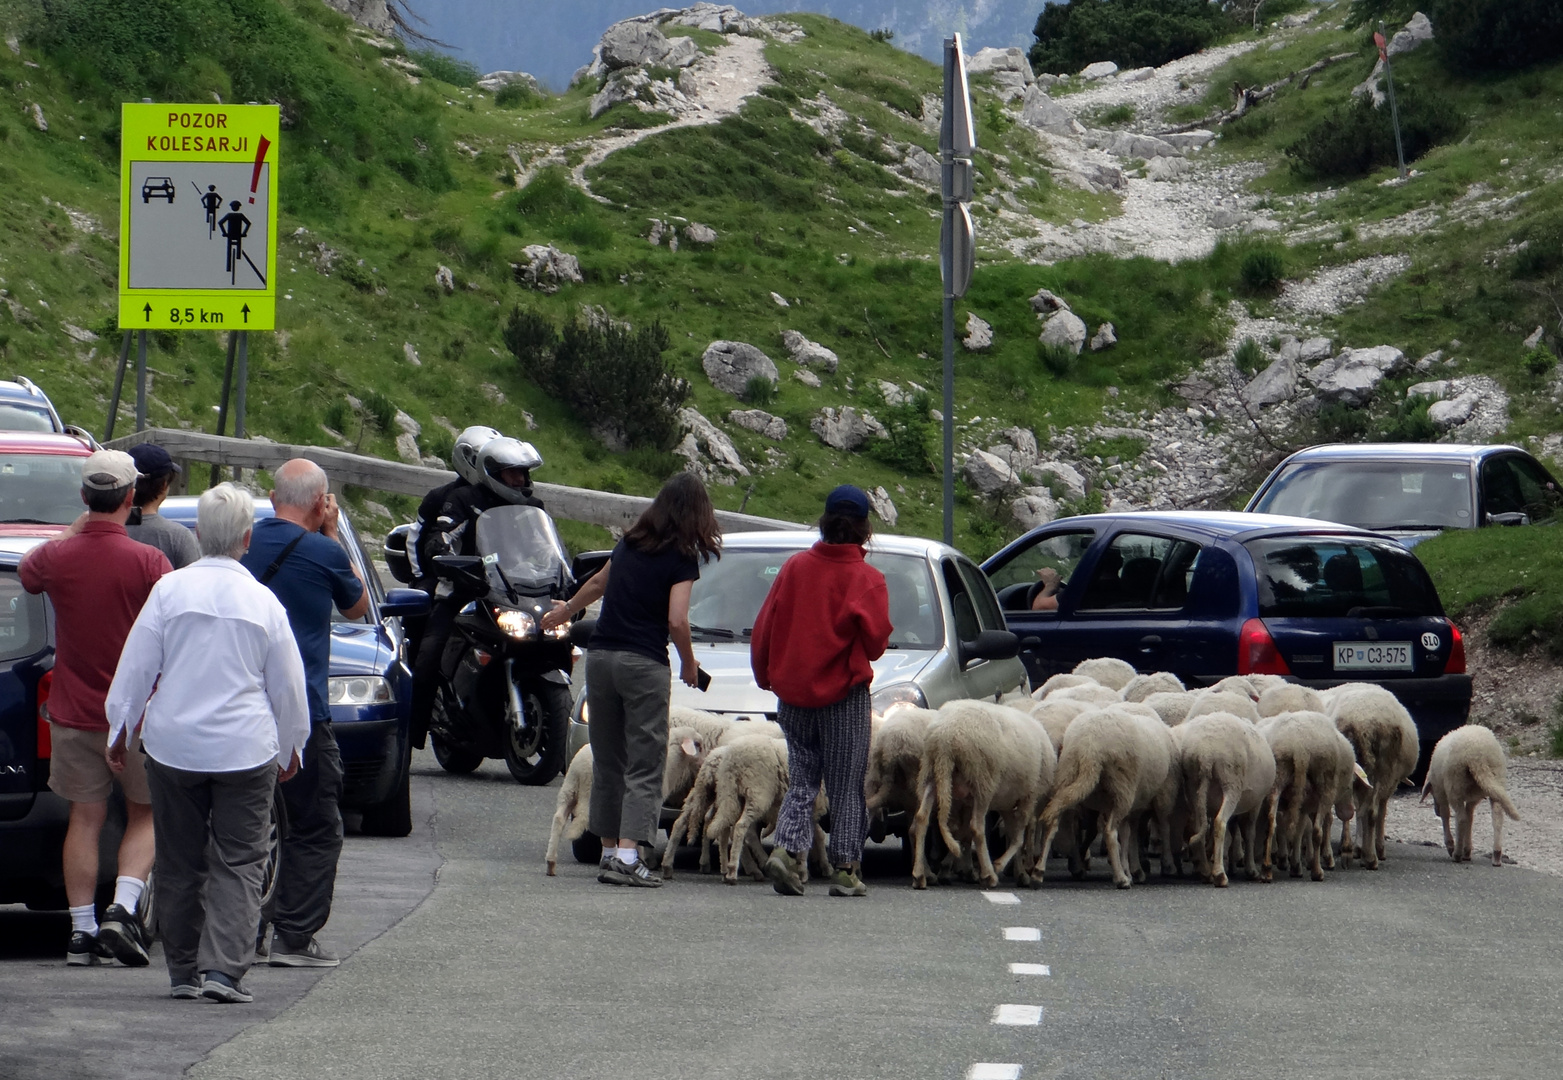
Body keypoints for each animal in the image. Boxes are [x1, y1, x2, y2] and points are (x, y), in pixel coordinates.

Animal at [912, 697, 1056, 894]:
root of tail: (945, 737)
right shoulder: (1029, 796)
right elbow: (1018, 838)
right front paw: (1000, 866)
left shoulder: (1006, 802)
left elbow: (1011, 834)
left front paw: (1020, 874)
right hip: (982, 780)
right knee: (977, 828)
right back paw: (989, 875)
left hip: (931, 772)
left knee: (921, 819)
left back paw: (919, 875)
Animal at [1037, 706, 1175, 894]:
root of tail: (1090, 747)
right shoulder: (1136, 802)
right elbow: (1129, 835)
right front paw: (1132, 871)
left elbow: (1126, 834)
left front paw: (1131, 869)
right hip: (1123, 788)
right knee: (1110, 832)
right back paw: (1121, 879)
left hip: (1067, 772)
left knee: (1053, 821)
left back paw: (1038, 872)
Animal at [1256, 712, 1344, 881]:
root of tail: (1299, 747)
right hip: (1325, 783)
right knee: (1317, 830)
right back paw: (1317, 871)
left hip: (1278, 776)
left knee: (1272, 823)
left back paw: (1267, 869)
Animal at [1325, 687, 1425, 875]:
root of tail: (1363, 721)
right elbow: (1377, 810)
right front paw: (1372, 847)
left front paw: (1356, 847)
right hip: (1381, 769)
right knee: (1371, 811)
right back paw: (1370, 857)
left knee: (1357, 810)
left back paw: (1356, 853)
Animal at [1425, 725, 1519, 869]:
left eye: (1431, 792)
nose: (1436, 811)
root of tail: (1477, 756)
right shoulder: (1473, 798)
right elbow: (1470, 817)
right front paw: (1467, 851)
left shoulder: (1440, 791)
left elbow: (1447, 815)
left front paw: (1451, 846)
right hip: (1497, 777)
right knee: (1497, 816)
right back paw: (1496, 855)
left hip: (1455, 783)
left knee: (1460, 818)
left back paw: (1456, 854)